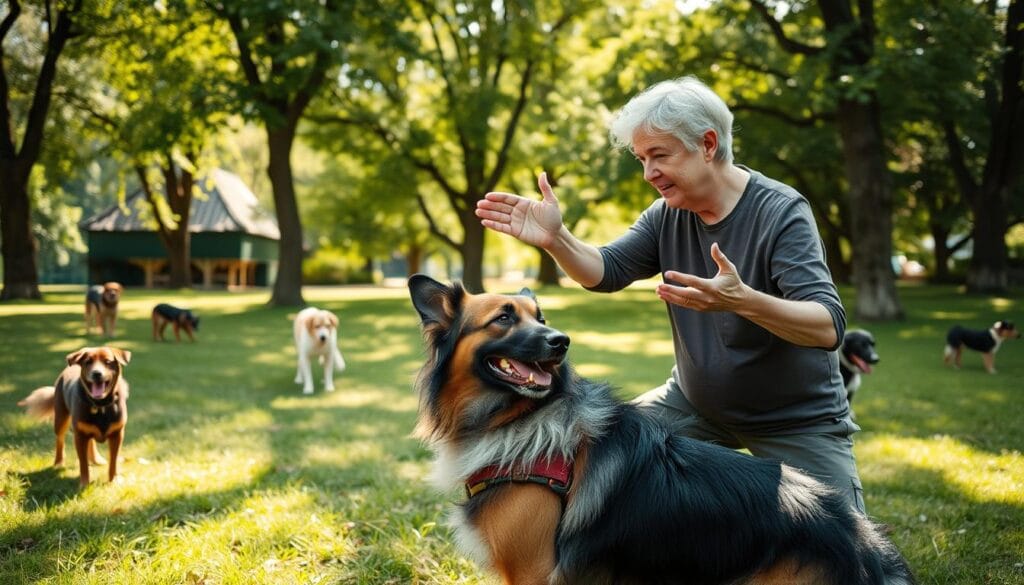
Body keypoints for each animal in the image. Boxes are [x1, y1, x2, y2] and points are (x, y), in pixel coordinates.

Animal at [17, 346, 133, 487]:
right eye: (88, 362)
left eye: (107, 361)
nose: (96, 373)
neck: (100, 405)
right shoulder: (80, 436)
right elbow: (83, 463)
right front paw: (84, 483)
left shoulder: (117, 434)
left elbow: (114, 460)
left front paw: (114, 479)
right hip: (61, 419)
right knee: (60, 440)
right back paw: (59, 462)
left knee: (91, 441)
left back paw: (96, 459)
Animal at [405, 276, 913, 585]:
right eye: (505, 318)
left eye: (542, 319)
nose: (562, 342)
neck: (521, 419)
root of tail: (864, 541)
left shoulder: (532, 570)